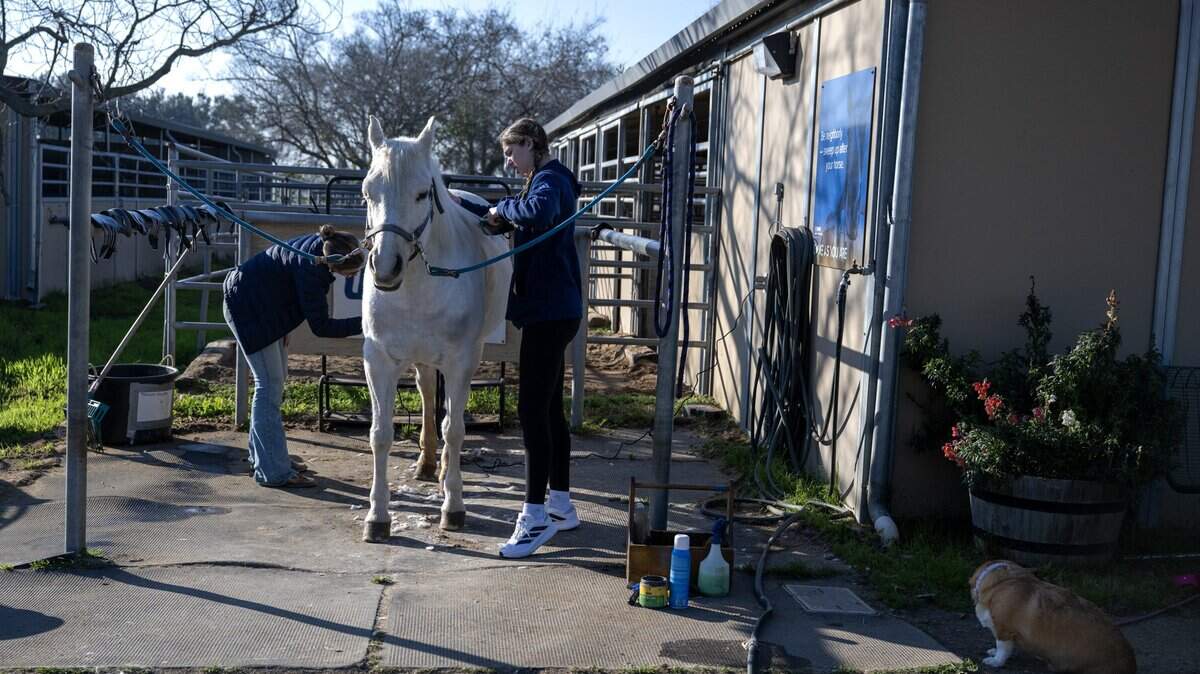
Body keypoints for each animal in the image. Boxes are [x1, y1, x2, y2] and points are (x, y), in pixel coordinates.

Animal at [359, 114, 512, 542]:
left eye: (422, 193)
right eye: (367, 192)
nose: (385, 267)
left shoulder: (462, 361)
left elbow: (455, 430)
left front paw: (453, 506)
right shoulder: (379, 359)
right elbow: (381, 434)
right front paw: (378, 515)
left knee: (445, 416)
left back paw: (443, 470)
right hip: (421, 358)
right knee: (428, 393)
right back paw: (428, 463)